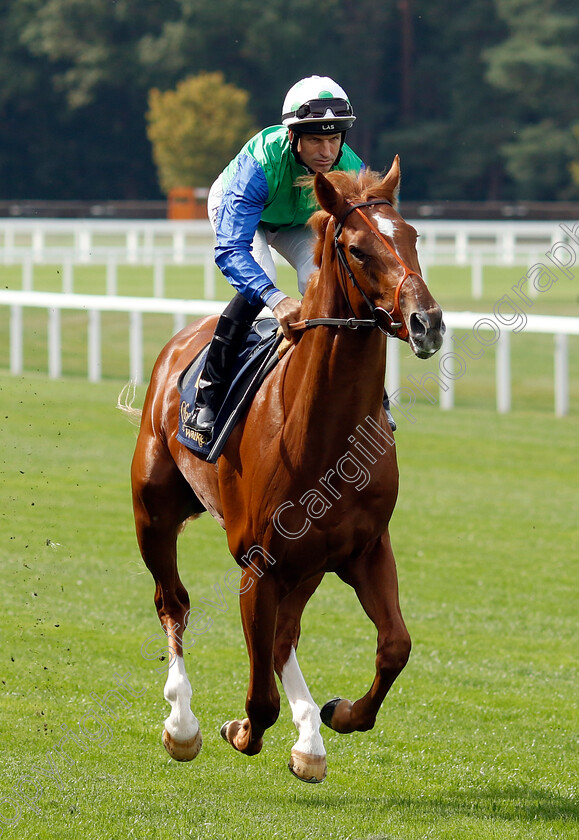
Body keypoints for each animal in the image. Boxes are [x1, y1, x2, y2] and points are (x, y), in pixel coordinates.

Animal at [130, 156, 444, 780]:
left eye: (413, 236)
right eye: (357, 249)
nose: (427, 323)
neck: (322, 436)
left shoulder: (363, 549)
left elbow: (395, 647)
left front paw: (339, 714)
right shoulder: (259, 563)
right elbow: (260, 700)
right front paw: (238, 730)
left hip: (308, 566)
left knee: (284, 639)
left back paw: (310, 743)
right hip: (153, 511)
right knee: (173, 603)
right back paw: (182, 725)